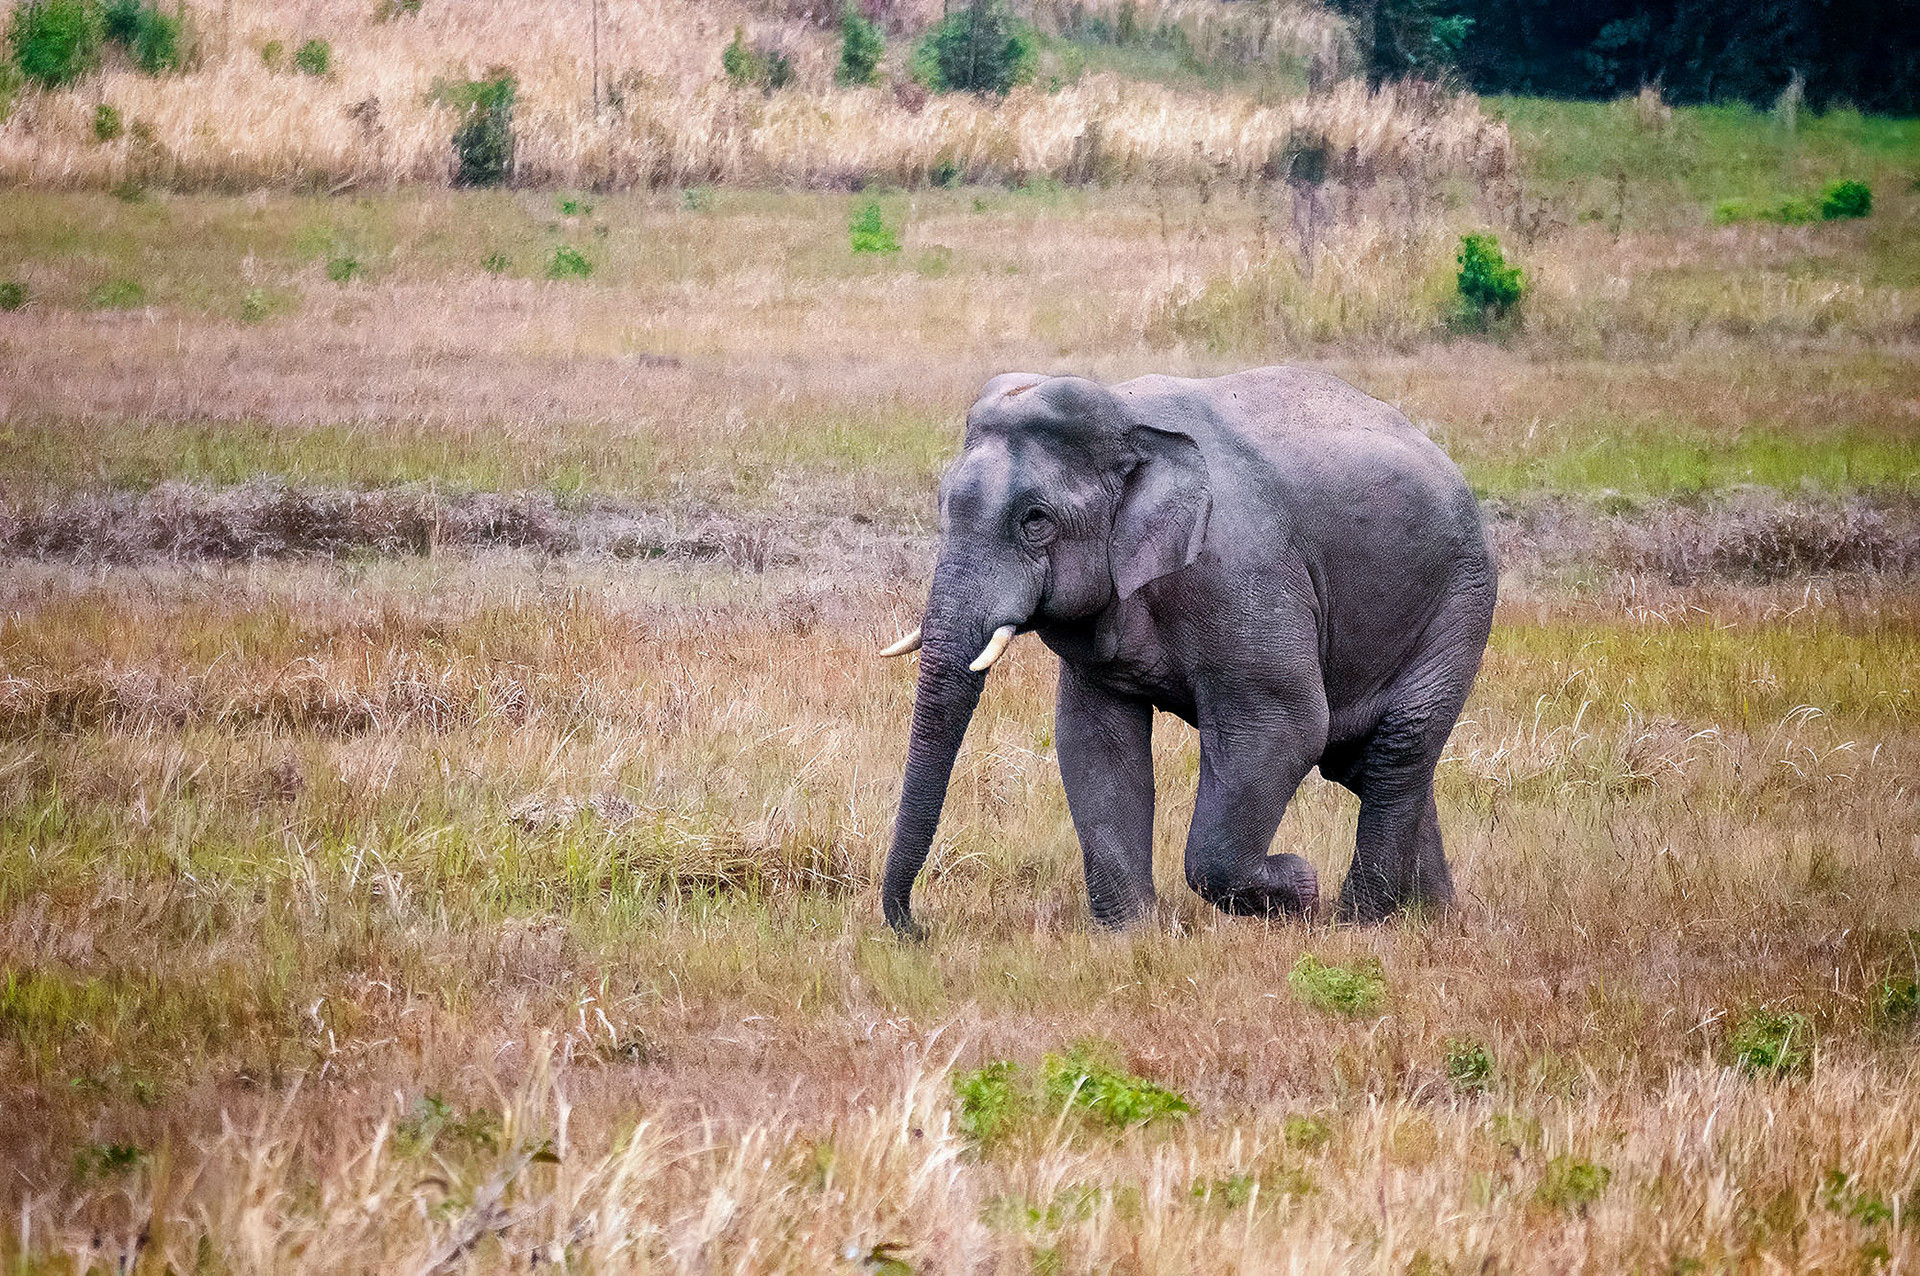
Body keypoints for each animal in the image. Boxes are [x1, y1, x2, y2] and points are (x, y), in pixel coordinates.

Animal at [877, 366, 1496, 934]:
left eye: (1036, 522)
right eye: (942, 504)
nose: (919, 928)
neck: (1128, 420)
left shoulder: (1244, 577)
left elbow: (1285, 726)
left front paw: (1300, 889)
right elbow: (1093, 739)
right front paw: (1132, 938)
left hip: (1460, 600)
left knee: (1399, 747)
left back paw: (1360, 926)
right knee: (1364, 761)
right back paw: (1434, 919)